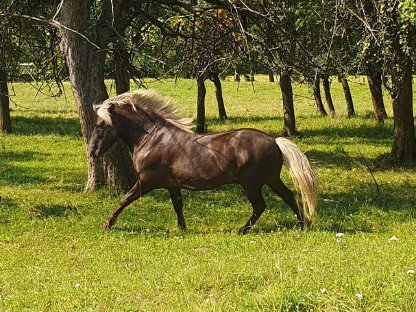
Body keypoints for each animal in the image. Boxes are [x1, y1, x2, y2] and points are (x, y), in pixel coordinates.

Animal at [87, 89, 318, 233]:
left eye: (99, 125)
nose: (91, 152)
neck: (151, 138)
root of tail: (274, 141)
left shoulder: (146, 181)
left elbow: (124, 199)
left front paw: (107, 223)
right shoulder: (171, 184)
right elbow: (178, 205)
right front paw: (182, 228)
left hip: (252, 183)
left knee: (261, 205)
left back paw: (243, 230)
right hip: (270, 179)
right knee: (289, 197)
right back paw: (302, 225)